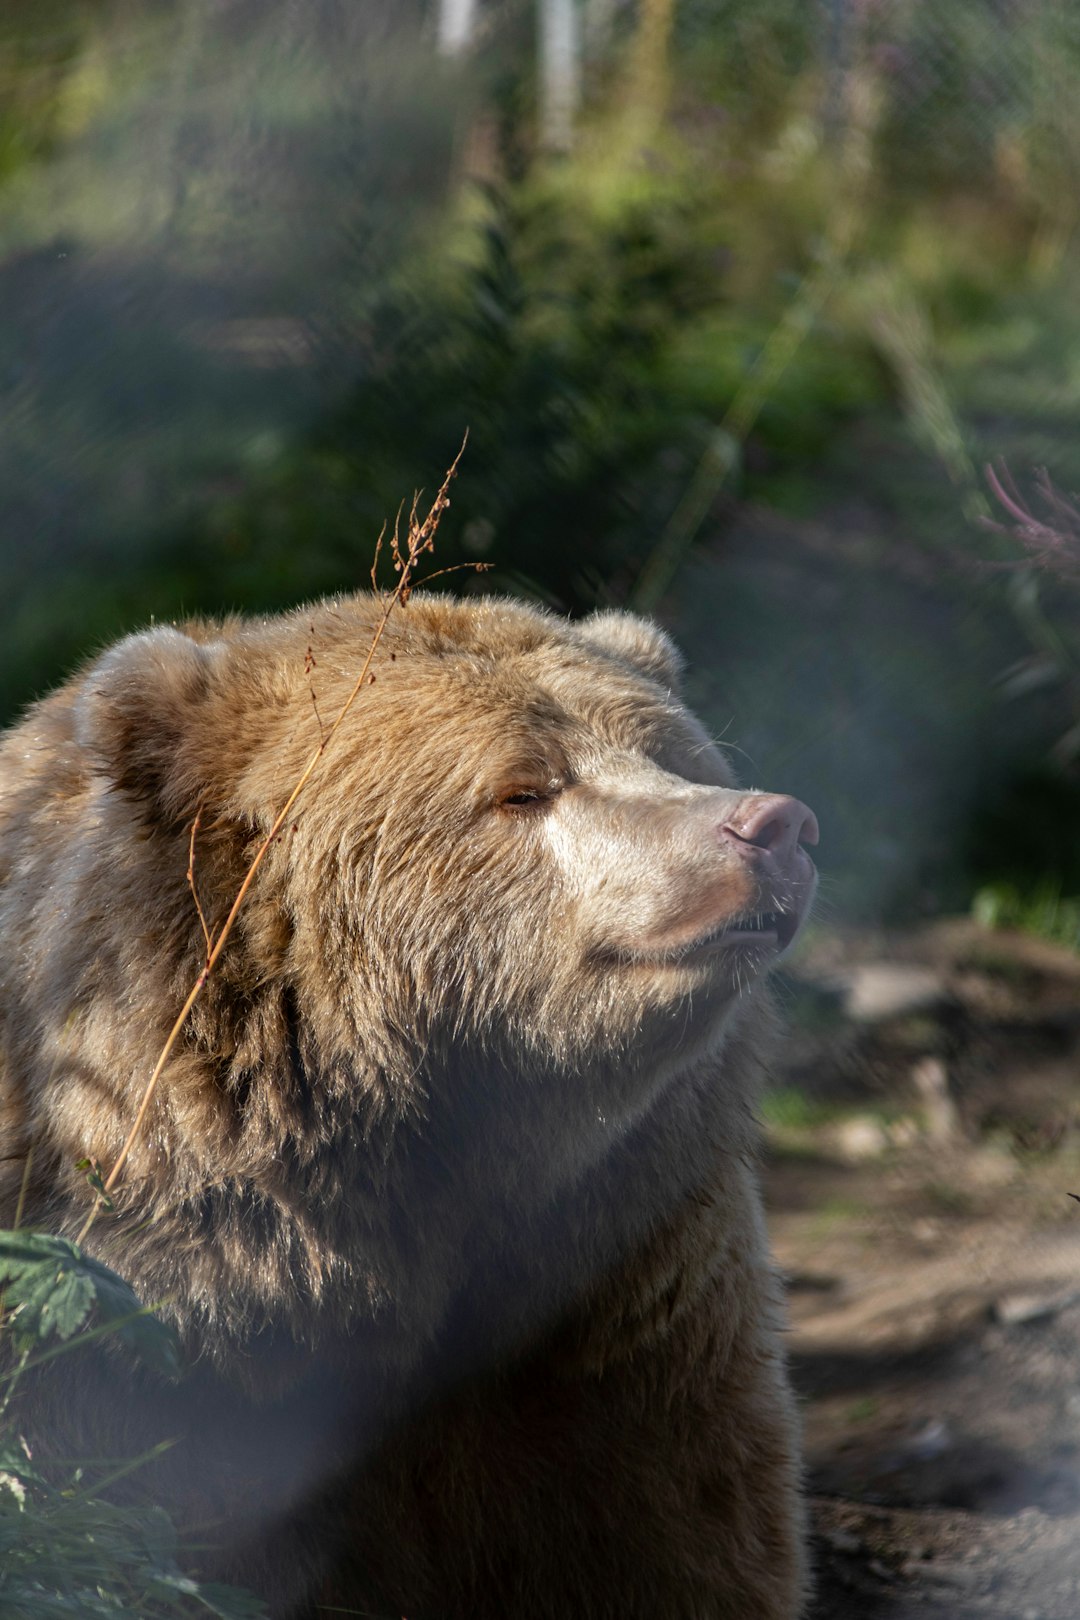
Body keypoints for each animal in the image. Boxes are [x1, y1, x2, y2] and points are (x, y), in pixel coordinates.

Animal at [0, 591, 818, 1619]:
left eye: (676, 755)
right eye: (525, 787)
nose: (772, 826)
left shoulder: (620, 1299)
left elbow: (676, 1534)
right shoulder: (124, 1343)